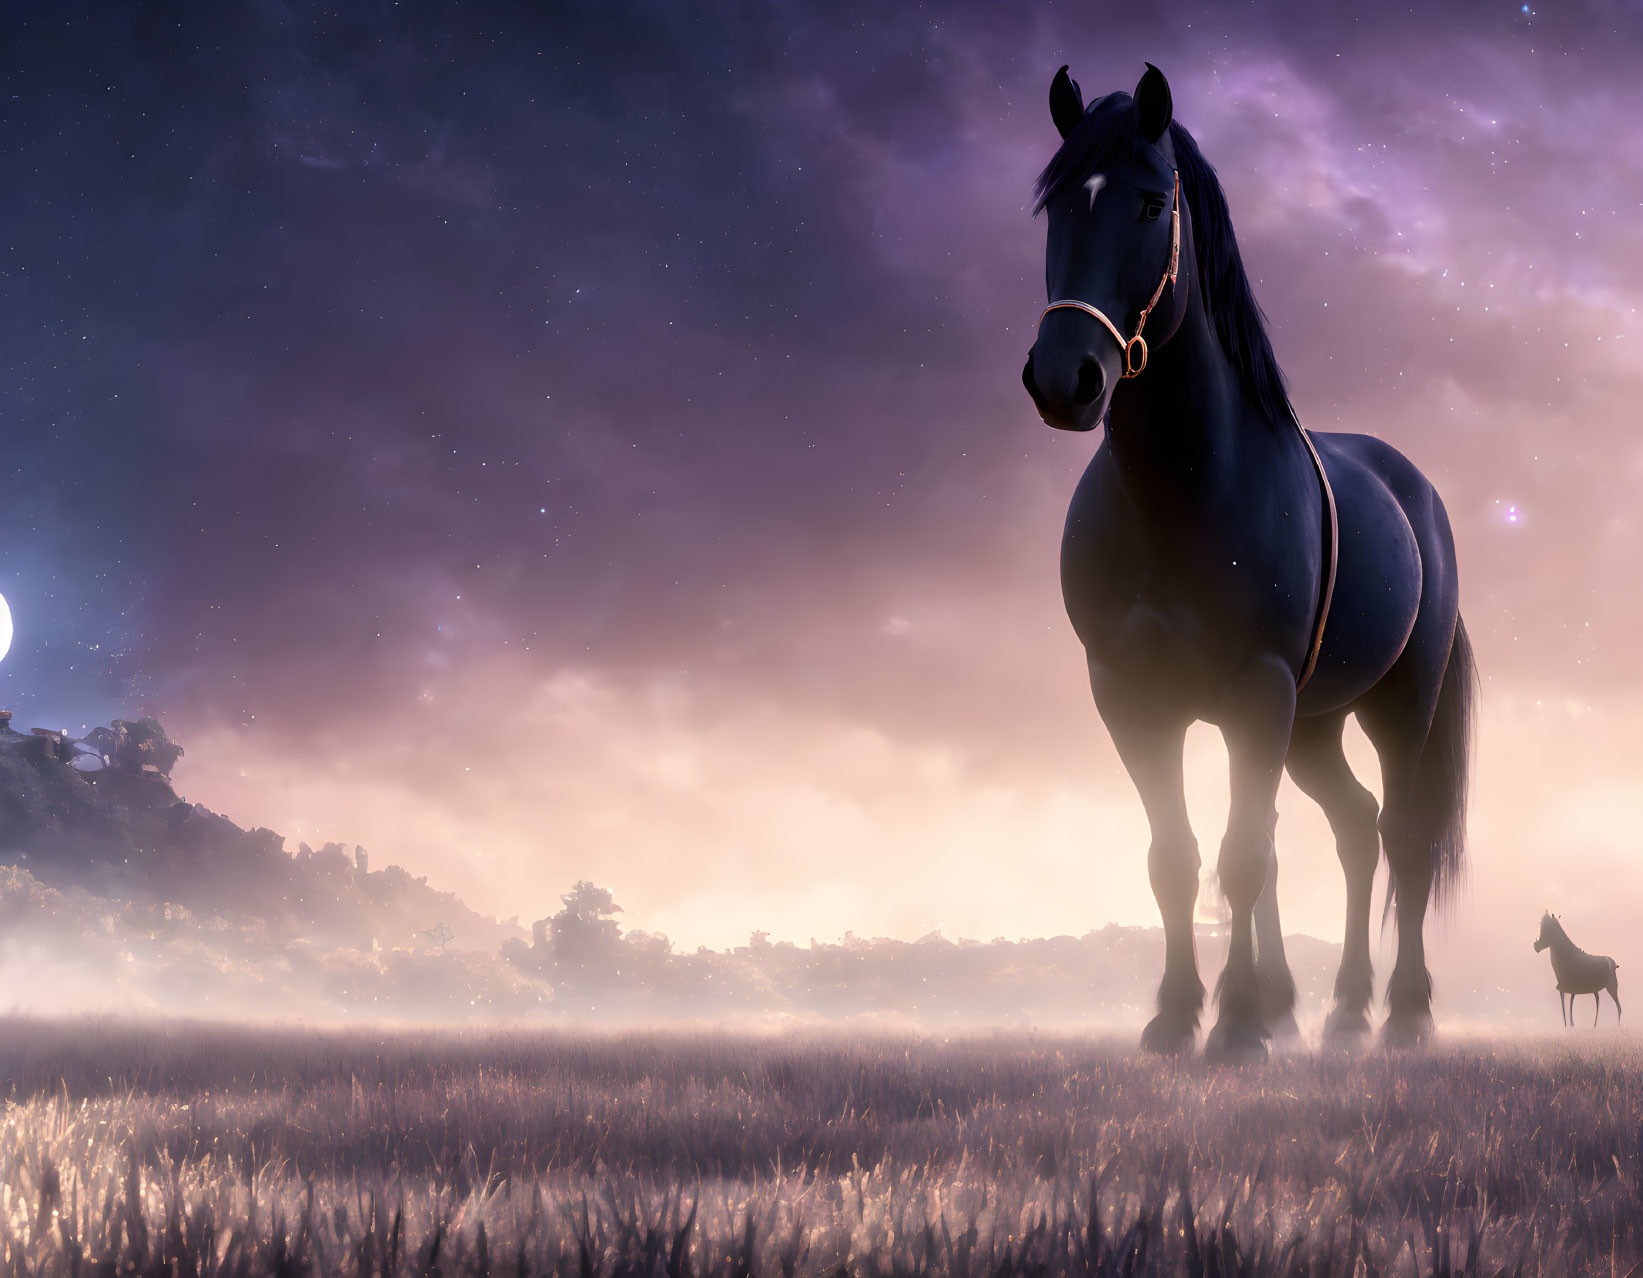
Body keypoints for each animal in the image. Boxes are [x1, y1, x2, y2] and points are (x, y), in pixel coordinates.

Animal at [1025, 62, 1478, 1057]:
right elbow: (1176, 858)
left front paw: (1234, 1027)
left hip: (1394, 703)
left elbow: (1239, 857)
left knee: (1400, 832)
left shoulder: (1255, 690)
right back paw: (1337, 1009)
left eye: (1151, 202)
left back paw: (1402, 1014)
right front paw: (1177, 1018)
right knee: (1351, 827)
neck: (1185, 493)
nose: (1063, 381)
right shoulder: (1128, 697)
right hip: (1314, 723)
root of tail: (1417, 491)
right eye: (1052, 207)